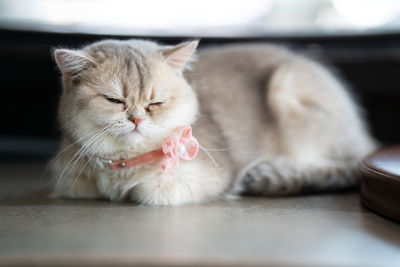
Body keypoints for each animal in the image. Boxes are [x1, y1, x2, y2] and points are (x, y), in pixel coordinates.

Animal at [49, 38, 376, 206]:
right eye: (114, 101)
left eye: (156, 103)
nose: (137, 118)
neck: (121, 165)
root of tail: (365, 139)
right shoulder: (69, 183)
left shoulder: (195, 181)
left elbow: (149, 191)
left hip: (288, 91)